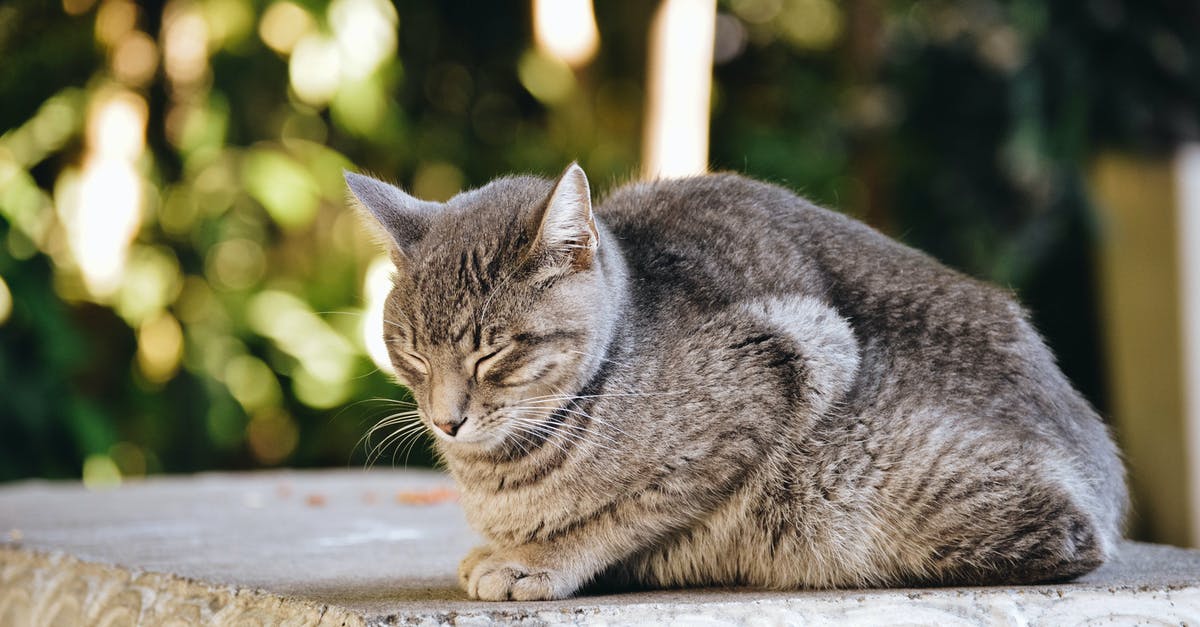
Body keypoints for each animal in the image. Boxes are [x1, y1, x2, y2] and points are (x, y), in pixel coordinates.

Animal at [345, 163, 1123, 598]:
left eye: (493, 352)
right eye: (411, 353)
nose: (445, 419)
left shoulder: (788, 363)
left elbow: (628, 512)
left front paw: (542, 560)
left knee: (1070, 542)